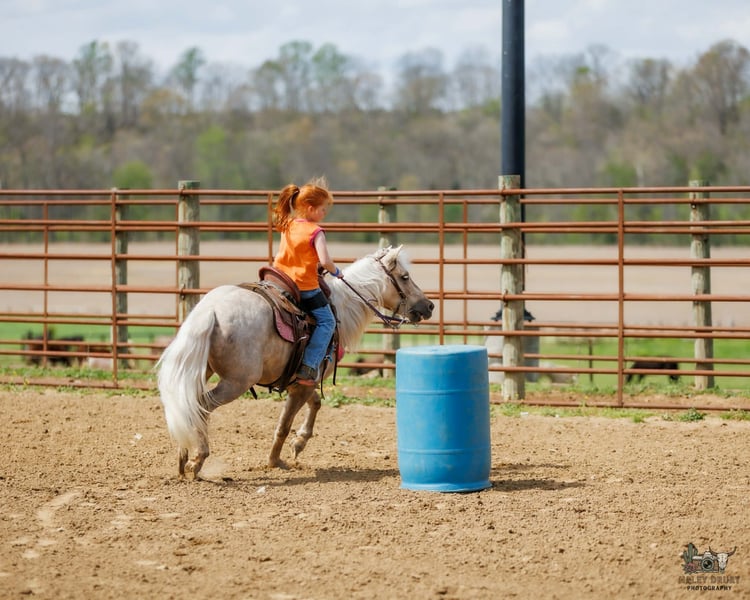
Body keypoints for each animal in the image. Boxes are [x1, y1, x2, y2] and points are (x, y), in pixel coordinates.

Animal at [156, 245, 434, 480]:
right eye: (405, 277)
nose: (428, 306)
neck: (340, 308)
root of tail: (210, 311)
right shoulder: (304, 383)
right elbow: (284, 423)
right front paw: (276, 460)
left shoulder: (302, 381)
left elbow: (316, 403)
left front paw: (298, 444)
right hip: (236, 382)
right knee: (202, 406)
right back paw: (197, 459)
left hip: (203, 370)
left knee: (187, 404)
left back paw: (183, 456)